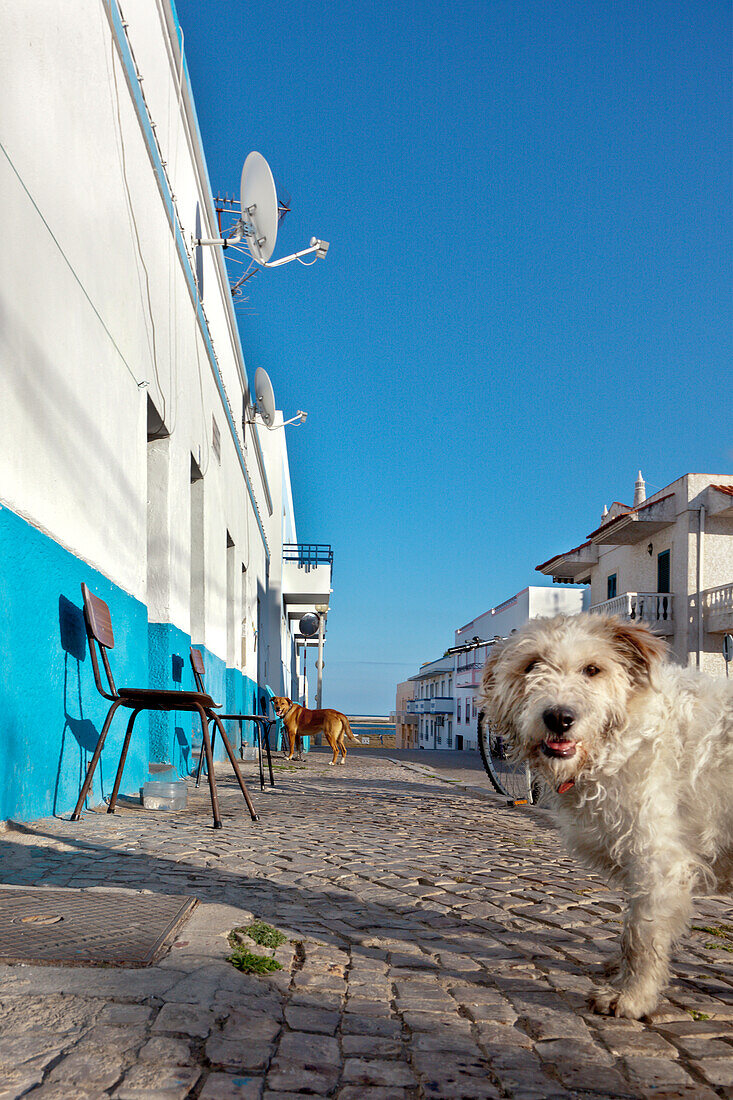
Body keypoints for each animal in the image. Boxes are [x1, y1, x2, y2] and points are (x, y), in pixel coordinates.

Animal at [479, 616, 730, 1016]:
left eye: (592, 670)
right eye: (532, 665)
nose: (559, 717)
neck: (624, 735)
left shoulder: (659, 860)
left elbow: (641, 933)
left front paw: (632, 996)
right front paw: (622, 974)